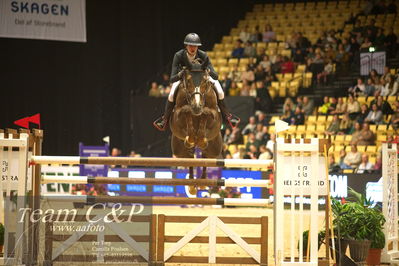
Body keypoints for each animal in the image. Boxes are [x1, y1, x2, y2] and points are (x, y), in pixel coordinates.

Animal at [170, 60, 225, 193]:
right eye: (189, 81)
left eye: (205, 81)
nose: (197, 106)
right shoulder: (177, 116)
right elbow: (186, 110)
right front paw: (190, 139)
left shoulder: (214, 115)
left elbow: (206, 112)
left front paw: (200, 139)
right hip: (180, 152)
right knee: (190, 158)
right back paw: (191, 184)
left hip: (214, 150)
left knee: (205, 158)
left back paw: (202, 182)